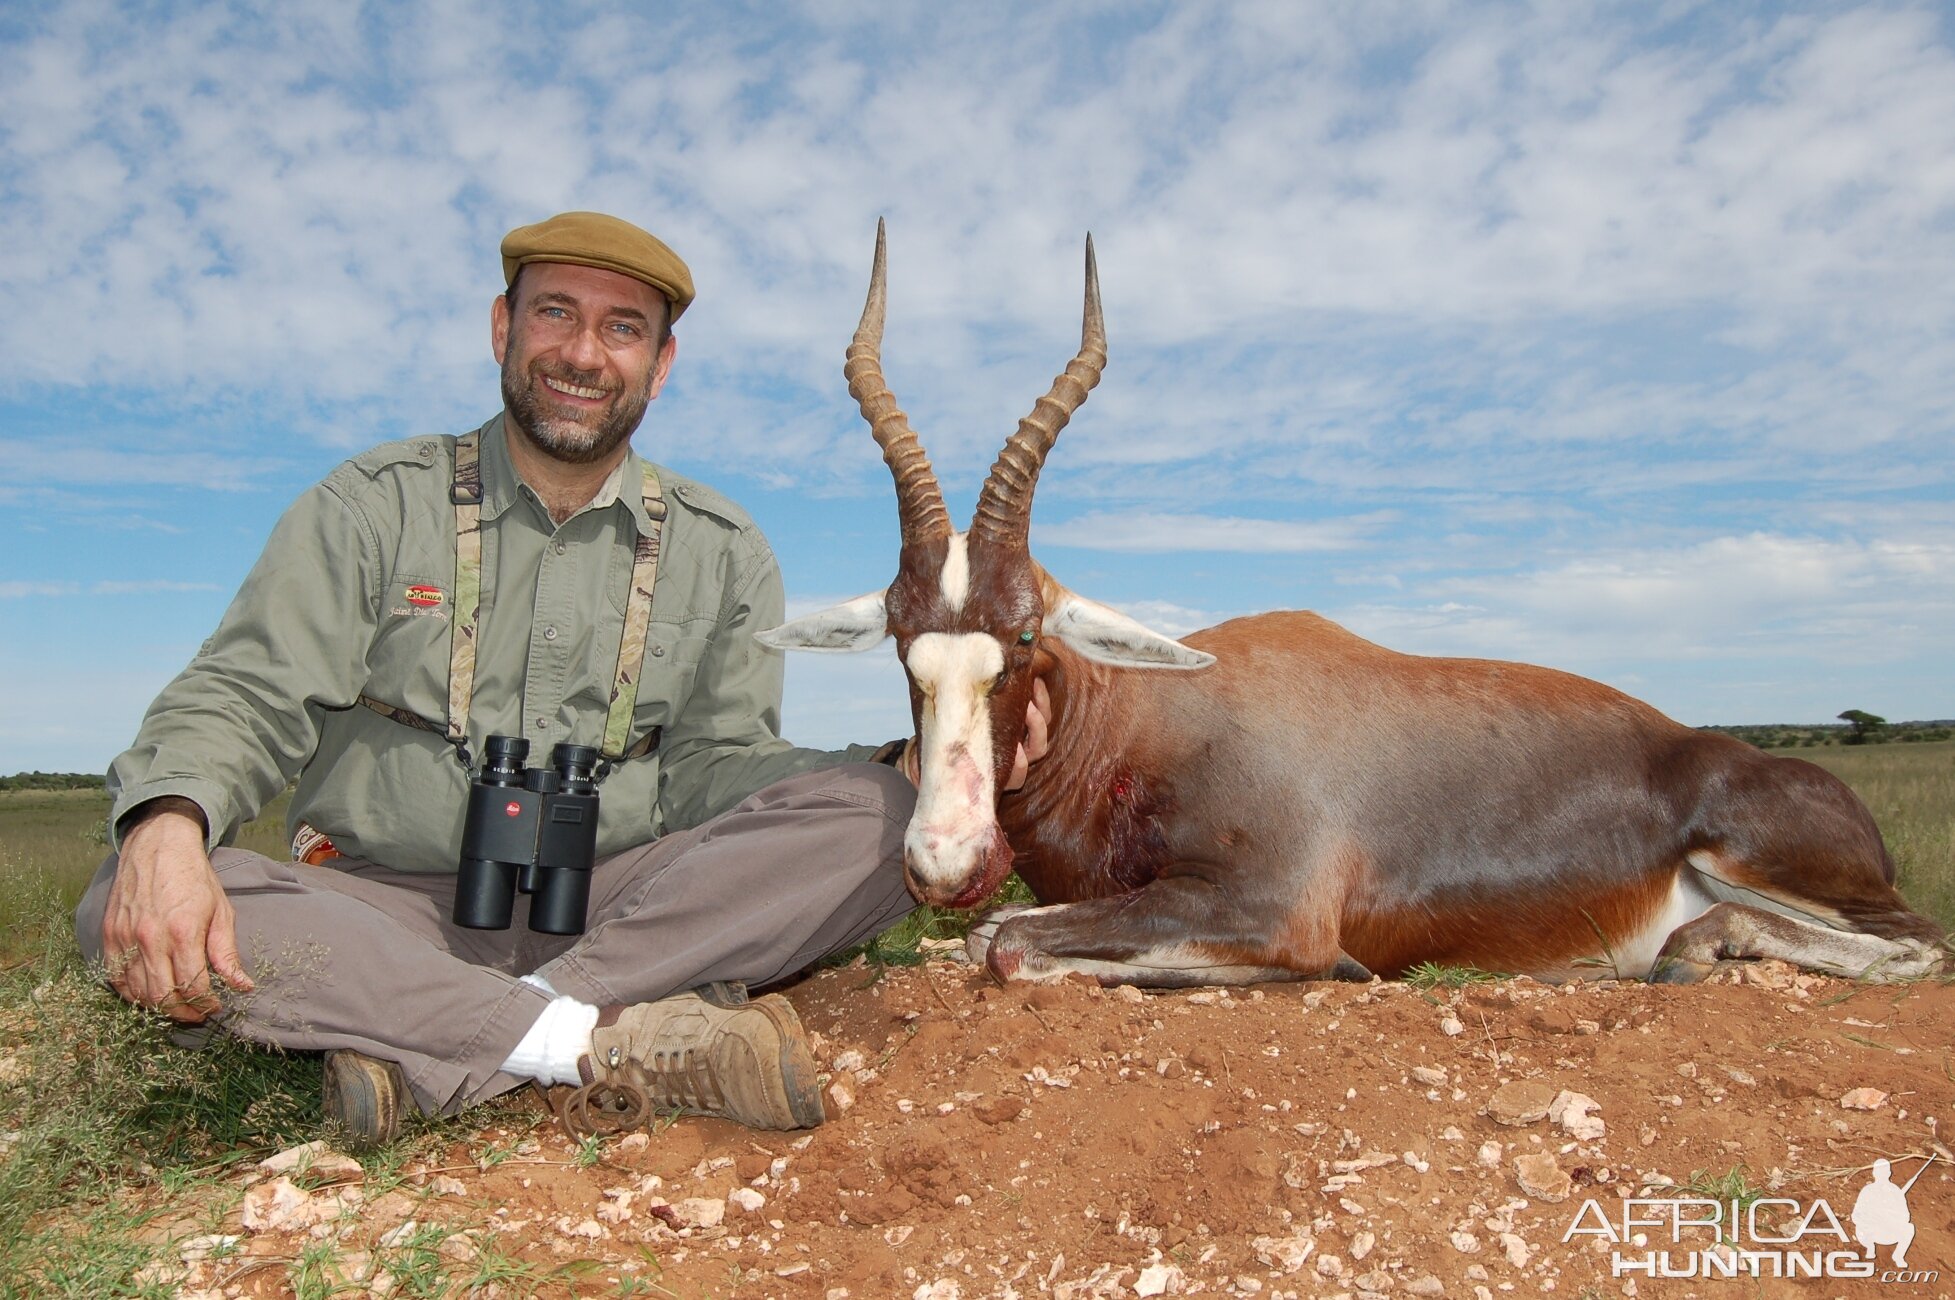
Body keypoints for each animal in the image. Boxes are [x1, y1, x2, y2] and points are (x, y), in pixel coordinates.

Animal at [758, 227, 1939, 989]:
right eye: (901, 641)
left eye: (1022, 634)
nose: (945, 863)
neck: (1153, 718)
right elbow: (996, 937)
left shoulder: (1273, 903)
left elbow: (1008, 946)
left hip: (1774, 862)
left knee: (1914, 944)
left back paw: (1699, 951)